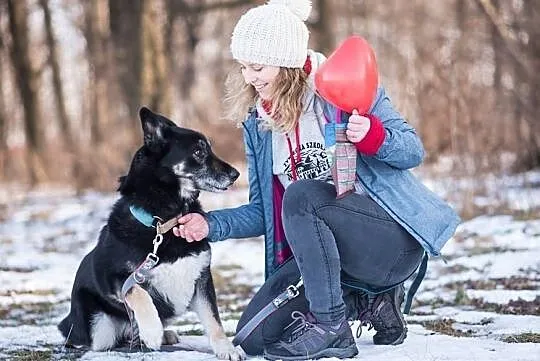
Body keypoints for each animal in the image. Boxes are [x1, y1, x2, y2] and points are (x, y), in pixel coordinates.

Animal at [58, 105, 242, 358]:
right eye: (198, 152)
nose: (236, 174)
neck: (164, 222)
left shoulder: (201, 278)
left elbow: (213, 320)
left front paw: (227, 348)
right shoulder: (113, 277)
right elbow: (137, 292)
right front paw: (153, 331)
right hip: (100, 328)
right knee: (108, 340)